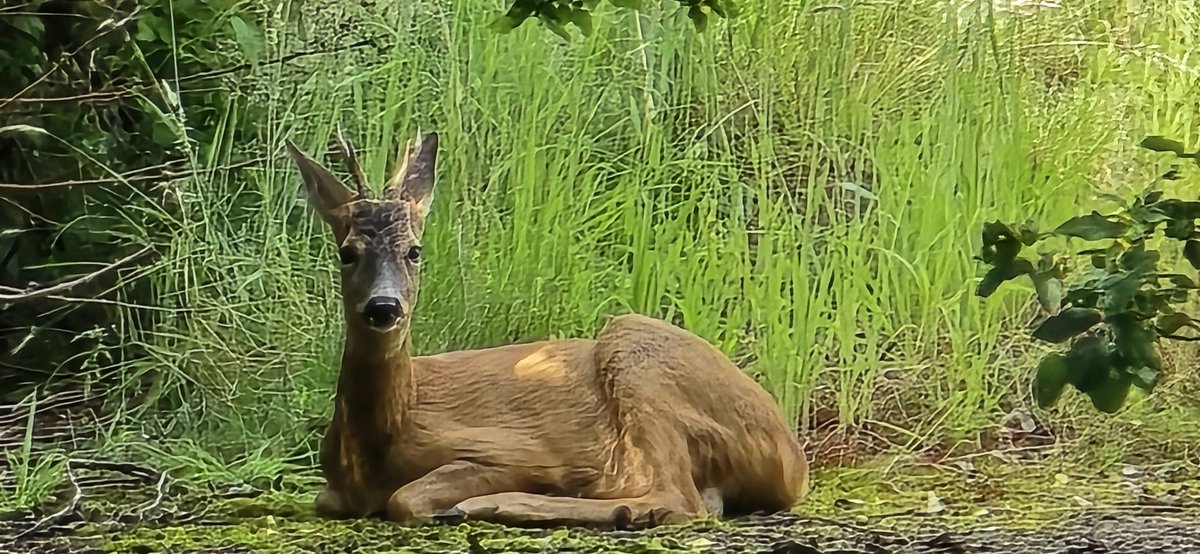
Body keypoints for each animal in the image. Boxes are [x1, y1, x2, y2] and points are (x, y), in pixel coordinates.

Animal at [282, 128, 810, 528]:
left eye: (414, 250)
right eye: (346, 252)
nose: (383, 306)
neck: (377, 442)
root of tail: (793, 461)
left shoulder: (516, 450)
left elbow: (406, 498)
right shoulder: (332, 492)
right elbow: (329, 499)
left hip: (634, 350)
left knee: (680, 497)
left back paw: (494, 506)